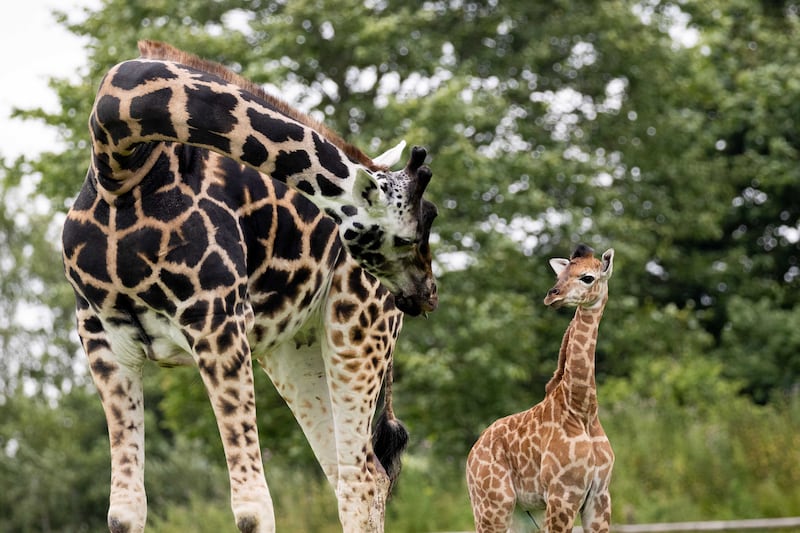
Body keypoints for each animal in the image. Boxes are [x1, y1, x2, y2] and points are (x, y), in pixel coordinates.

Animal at [61, 41, 438, 533]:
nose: (427, 292)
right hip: (294, 352)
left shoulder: (216, 318)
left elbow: (251, 509)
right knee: (350, 475)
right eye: (420, 225)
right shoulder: (102, 339)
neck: (120, 166)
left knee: (362, 478)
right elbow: (124, 513)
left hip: (356, 329)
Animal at [466, 244, 615, 533]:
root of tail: (472, 454)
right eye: (560, 275)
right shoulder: (562, 495)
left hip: (520, 512)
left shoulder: (600, 498)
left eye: (587, 277)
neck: (582, 410)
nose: (551, 295)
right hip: (493, 505)